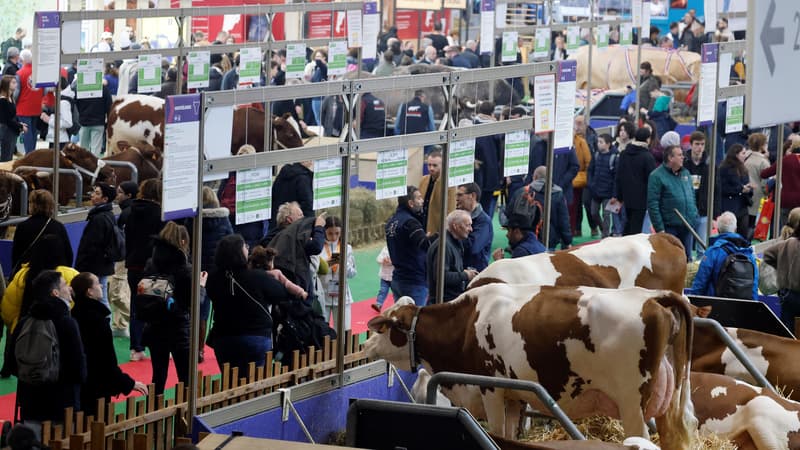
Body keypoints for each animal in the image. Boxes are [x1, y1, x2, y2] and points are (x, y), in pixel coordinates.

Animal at [366, 284, 696, 450]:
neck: (466, 323)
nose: (367, 345)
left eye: (384, 327)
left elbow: (496, 430)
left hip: (632, 403)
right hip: (668, 399)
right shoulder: (514, 396)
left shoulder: (491, 389)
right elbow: (510, 435)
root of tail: (652, 296)